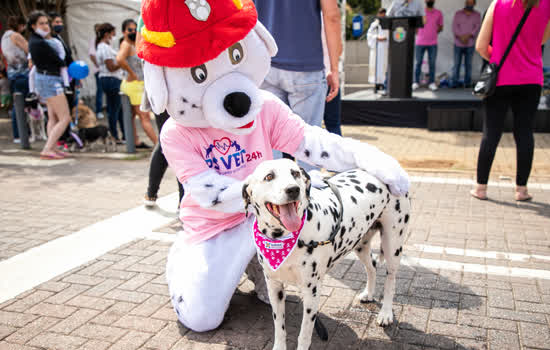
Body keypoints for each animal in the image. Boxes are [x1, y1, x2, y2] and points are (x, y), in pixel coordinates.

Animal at [244, 159, 412, 350]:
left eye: (295, 173)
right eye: (269, 176)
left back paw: (386, 313)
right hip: (360, 244)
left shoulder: (312, 292)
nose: (293, 189)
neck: (284, 238)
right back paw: (369, 294)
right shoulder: (274, 288)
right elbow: (279, 328)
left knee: (391, 280)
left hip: (393, 245)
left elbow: (304, 334)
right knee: (372, 267)